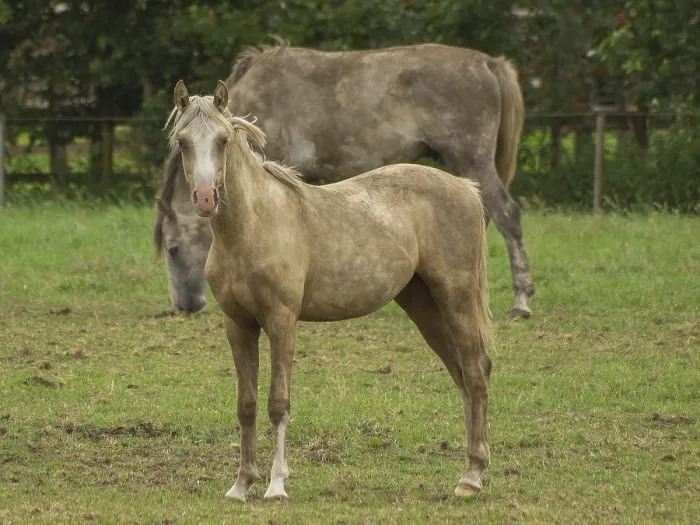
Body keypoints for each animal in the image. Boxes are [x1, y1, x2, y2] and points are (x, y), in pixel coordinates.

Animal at [154, 40, 535, 320]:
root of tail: (488, 63)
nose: (184, 307)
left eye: (173, 250)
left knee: (508, 216)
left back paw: (521, 302)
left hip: (473, 158)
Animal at [165, 80, 494, 501]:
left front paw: (276, 485)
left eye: (223, 140)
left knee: (476, 371)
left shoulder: (282, 321)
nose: (205, 198)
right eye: (183, 141)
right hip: (424, 305)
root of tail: (466, 188)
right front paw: (241, 484)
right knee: (462, 374)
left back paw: (472, 477)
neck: (253, 226)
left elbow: (278, 403)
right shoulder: (238, 324)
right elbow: (246, 405)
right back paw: (472, 469)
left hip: (457, 298)